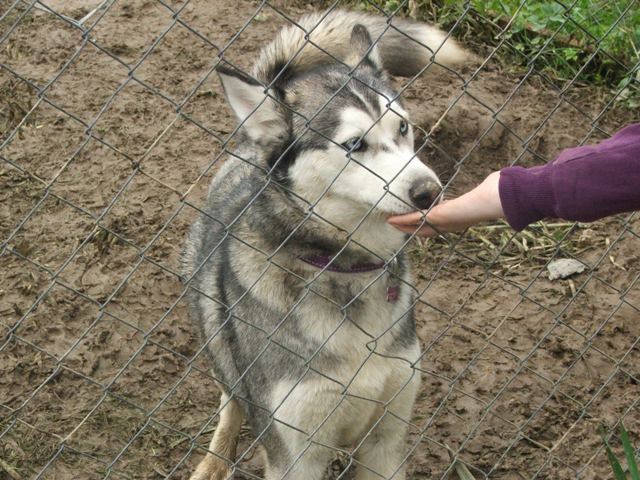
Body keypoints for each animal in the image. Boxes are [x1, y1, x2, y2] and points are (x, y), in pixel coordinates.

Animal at [182, 8, 468, 480]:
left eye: (402, 127)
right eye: (354, 144)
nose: (430, 192)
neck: (343, 268)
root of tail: (250, 141)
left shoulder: (386, 440)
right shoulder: (295, 456)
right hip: (216, 338)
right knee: (231, 397)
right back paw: (215, 459)